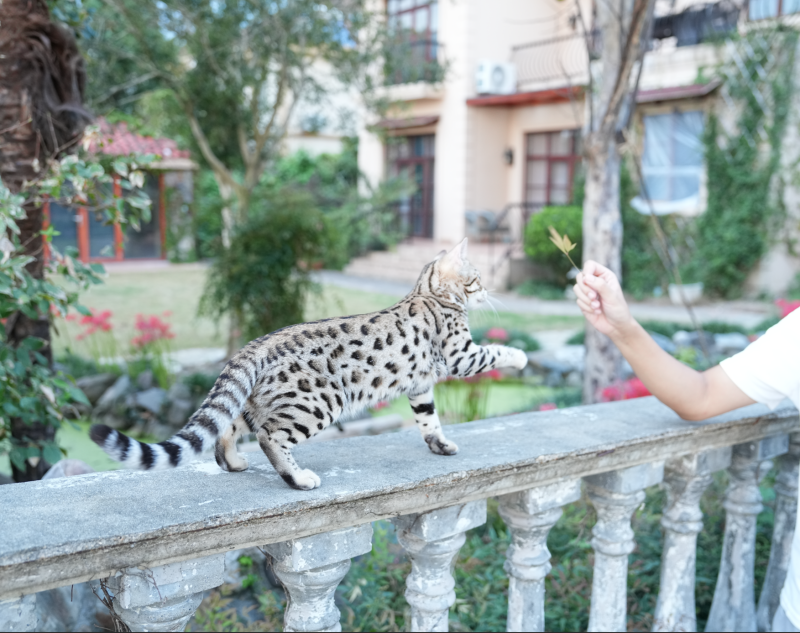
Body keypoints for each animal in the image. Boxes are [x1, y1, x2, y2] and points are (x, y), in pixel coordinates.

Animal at [90, 238, 528, 490]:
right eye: (477, 277)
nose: (487, 289)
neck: (428, 292)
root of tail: (254, 345)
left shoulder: (420, 385)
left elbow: (428, 419)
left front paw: (440, 445)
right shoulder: (461, 355)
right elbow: (496, 351)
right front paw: (521, 355)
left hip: (257, 402)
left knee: (228, 427)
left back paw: (233, 462)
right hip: (317, 403)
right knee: (270, 436)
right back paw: (297, 477)